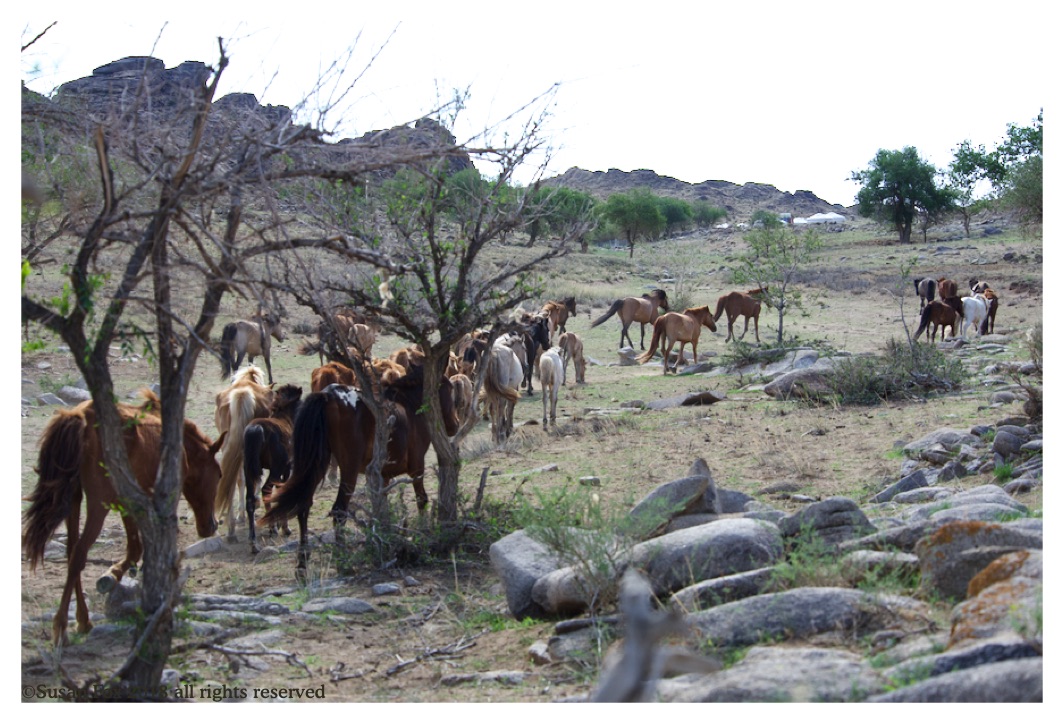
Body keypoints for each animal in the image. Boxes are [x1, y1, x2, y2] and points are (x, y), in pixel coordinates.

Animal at [22, 392, 224, 645]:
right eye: (219, 474)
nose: (211, 526)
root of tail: (81, 416)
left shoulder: (128, 497)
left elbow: (134, 545)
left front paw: (116, 572)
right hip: (97, 504)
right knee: (79, 554)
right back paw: (61, 625)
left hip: (74, 499)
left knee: (71, 553)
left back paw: (83, 619)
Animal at [243, 384, 303, 555]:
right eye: (299, 402)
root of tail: (257, 429)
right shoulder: (287, 468)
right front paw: (284, 527)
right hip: (275, 468)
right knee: (266, 491)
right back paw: (273, 528)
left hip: (248, 471)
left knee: (250, 499)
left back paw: (253, 542)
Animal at [259, 361, 459, 578]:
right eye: (449, 387)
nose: (455, 424)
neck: (409, 406)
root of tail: (328, 395)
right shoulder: (417, 467)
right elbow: (421, 499)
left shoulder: (383, 476)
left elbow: (382, 508)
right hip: (349, 468)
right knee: (338, 511)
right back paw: (342, 560)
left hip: (317, 463)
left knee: (304, 506)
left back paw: (302, 563)